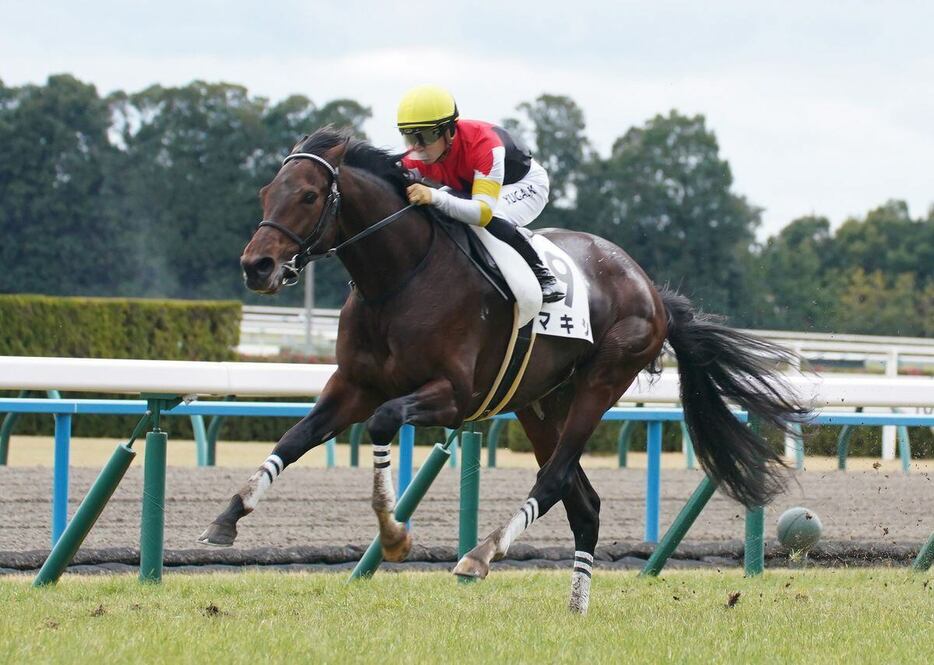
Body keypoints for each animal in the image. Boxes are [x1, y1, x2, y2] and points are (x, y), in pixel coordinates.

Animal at [201, 126, 808, 612]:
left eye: (308, 195)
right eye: (266, 192)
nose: (257, 266)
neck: (399, 278)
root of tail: (651, 289)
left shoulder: (453, 395)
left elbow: (382, 422)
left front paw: (394, 534)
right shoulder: (353, 385)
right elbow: (294, 438)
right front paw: (227, 517)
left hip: (602, 379)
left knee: (556, 478)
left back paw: (481, 554)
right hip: (540, 402)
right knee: (583, 502)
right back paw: (576, 607)